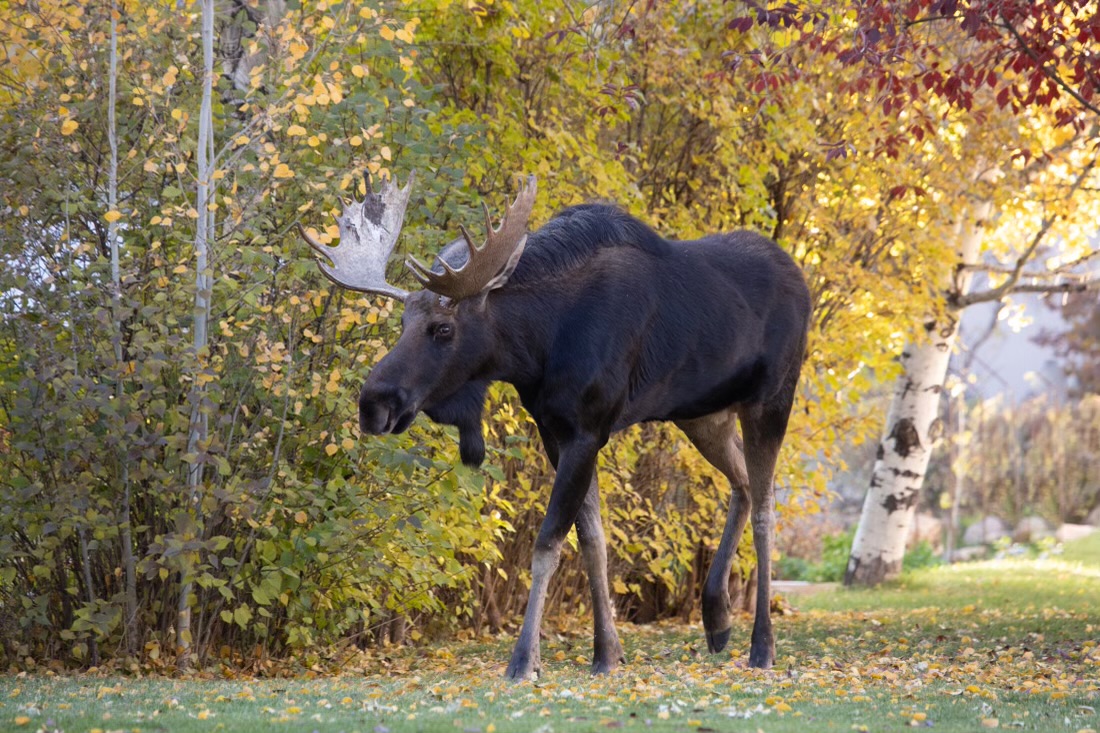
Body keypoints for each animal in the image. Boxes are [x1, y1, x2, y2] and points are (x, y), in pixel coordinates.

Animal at [299, 169, 809, 673]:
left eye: (443, 329)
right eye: (403, 323)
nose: (373, 403)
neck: (538, 347)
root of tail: (803, 282)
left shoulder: (588, 428)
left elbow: (547, 544)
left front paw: (525, 659)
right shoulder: (554, 430)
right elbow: (592, 540)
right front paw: (607, 653)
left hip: (771, 400)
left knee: (765, 506)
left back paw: (762, 646)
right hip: (703, 414)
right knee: (742, 483)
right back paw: (716, 616)